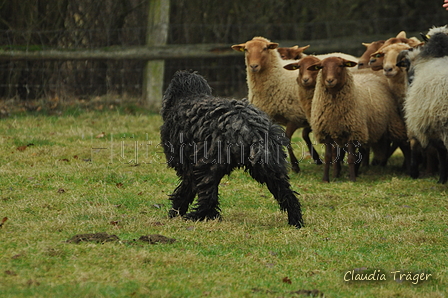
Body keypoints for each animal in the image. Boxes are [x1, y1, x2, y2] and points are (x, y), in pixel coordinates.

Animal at [159, 70, 302, 228]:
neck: (190, 96)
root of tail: (251, 128)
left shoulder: (187, 166)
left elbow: (184, 191)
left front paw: (175, 212)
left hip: (207, 166)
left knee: (208, 198)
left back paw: (196, 216)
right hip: (271, 167)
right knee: (288, 194)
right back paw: (295, 221)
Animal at [231, 36, 322, 172]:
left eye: (265, 48)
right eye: (246, 49)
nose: (253, 66)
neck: (278, 76)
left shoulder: (294, 117)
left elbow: (287, 138)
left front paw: (295, 165)